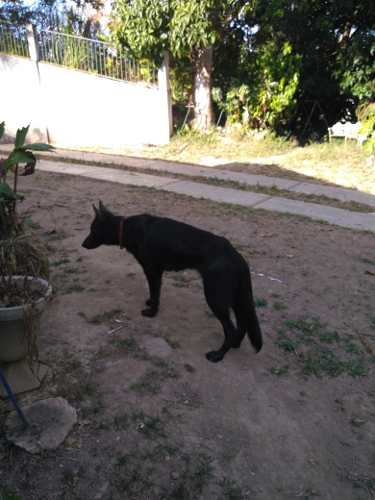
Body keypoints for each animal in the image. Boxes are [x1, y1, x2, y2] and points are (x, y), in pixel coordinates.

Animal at [83, 202, 262, 364]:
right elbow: (154, 293)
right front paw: (150, 303)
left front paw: (152, 312)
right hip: (234, 299)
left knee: (230, 330)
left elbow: (155, 293)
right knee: (242, 324)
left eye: (92, 230)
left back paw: (218, 355)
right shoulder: (156, 273)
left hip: (215, 298)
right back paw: (235, 345)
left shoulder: (152, 272)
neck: (127, 228)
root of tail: (237, 257)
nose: (82, 244)